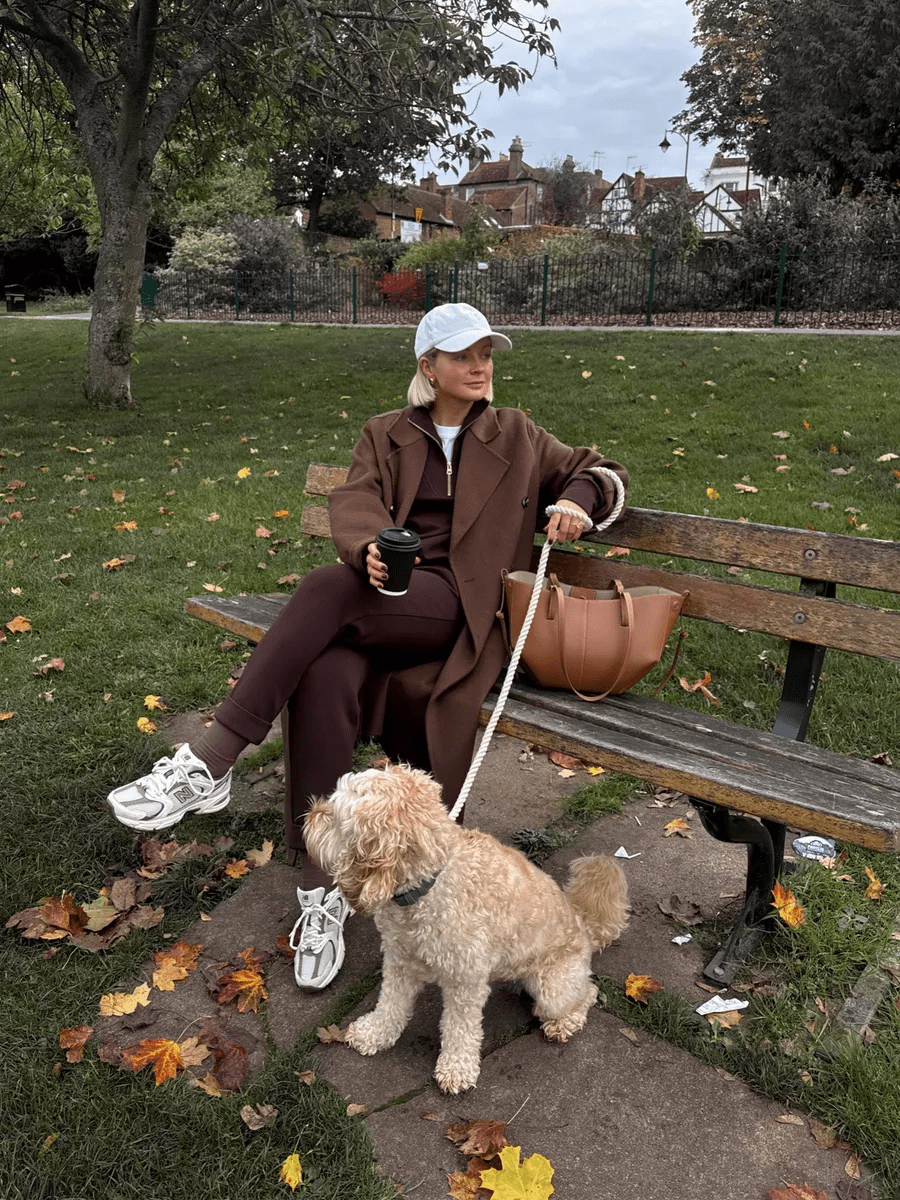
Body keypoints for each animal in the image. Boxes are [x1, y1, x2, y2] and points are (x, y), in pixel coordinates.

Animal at [304, 763, 628, 1094]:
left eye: (333, 816)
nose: (309, 813)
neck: (430, 882)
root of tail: (584, 925)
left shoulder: (466, 981)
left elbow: (459, 1027)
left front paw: (456, 1069)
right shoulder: (399, 961)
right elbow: (390, 1004)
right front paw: (375, 1034)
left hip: (553, 989)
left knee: (587, 992)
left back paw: (562, 1024)